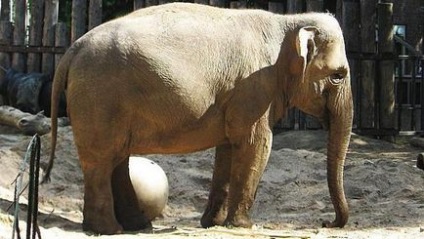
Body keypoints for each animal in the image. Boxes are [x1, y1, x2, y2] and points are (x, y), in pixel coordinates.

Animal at [43, 2, 354, 235]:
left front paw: (213, 224)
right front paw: (243, 226)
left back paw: (137, 227)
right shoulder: (255, 88)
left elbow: (228, 149)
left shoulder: (239, 95)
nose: (327, 222)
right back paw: (109, 230)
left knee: (116, 159)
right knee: (101, 161)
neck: (287, 22)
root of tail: (72, 50)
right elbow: (257, 144)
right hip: (100, 98)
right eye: (338, 76)